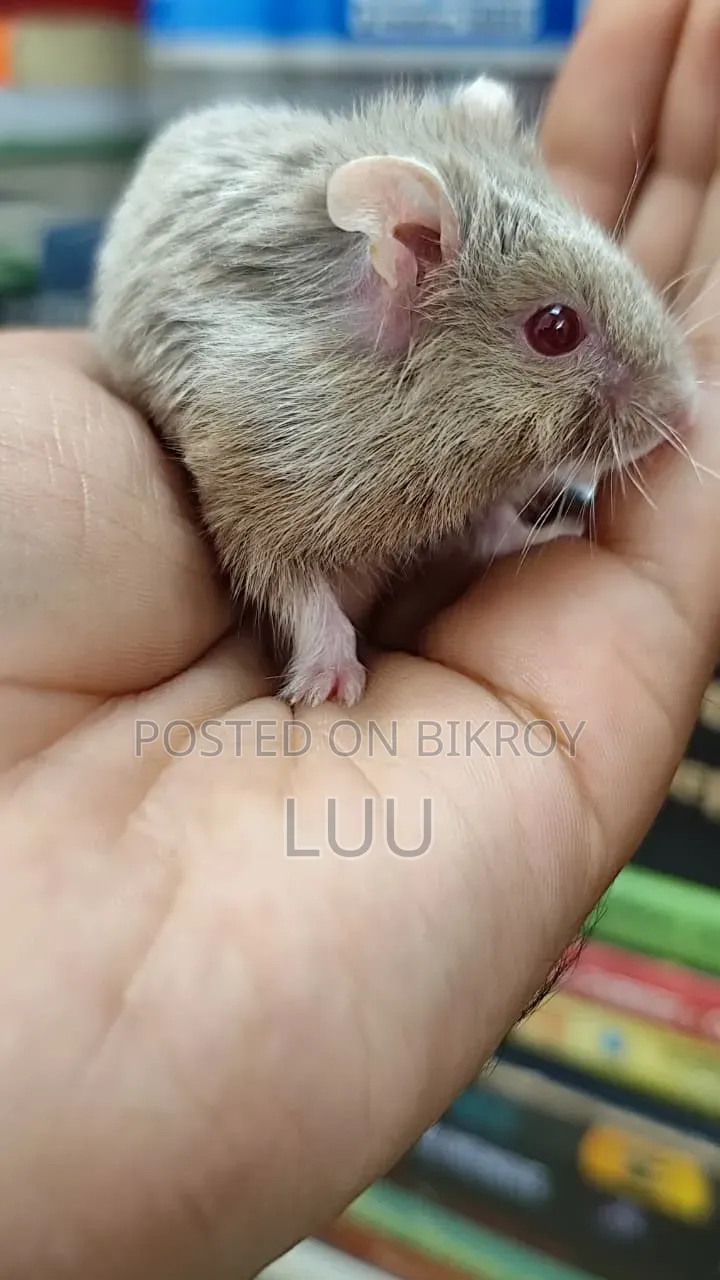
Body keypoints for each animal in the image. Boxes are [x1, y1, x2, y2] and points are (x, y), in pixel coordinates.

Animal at [91, 75, 696, 707]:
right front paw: (330, 687)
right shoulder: (247, 493)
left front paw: (557, 531)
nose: (688, 410)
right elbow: (302, 595)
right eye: (555, 328)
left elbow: (495, 526)